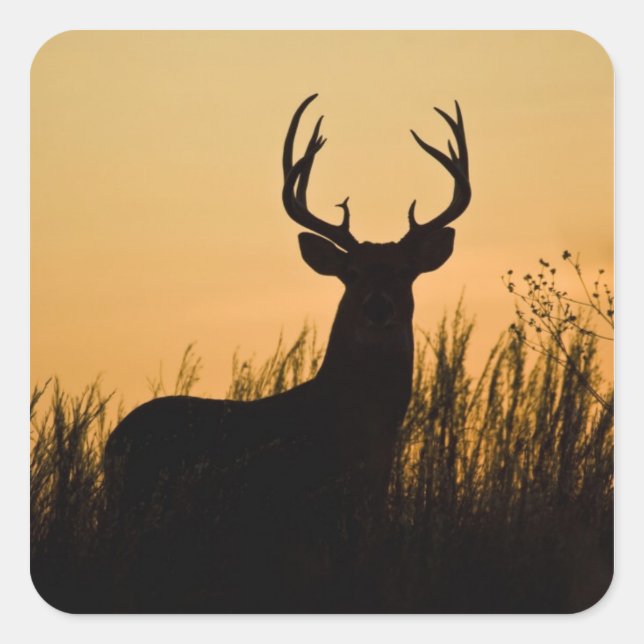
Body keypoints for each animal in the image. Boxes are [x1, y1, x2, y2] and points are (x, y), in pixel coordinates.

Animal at [103, 94, 471, 612]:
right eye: (351, 273)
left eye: (404, 271)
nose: (378, 306)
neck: (353, 431)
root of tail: (114, 440)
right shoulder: (297, 515)